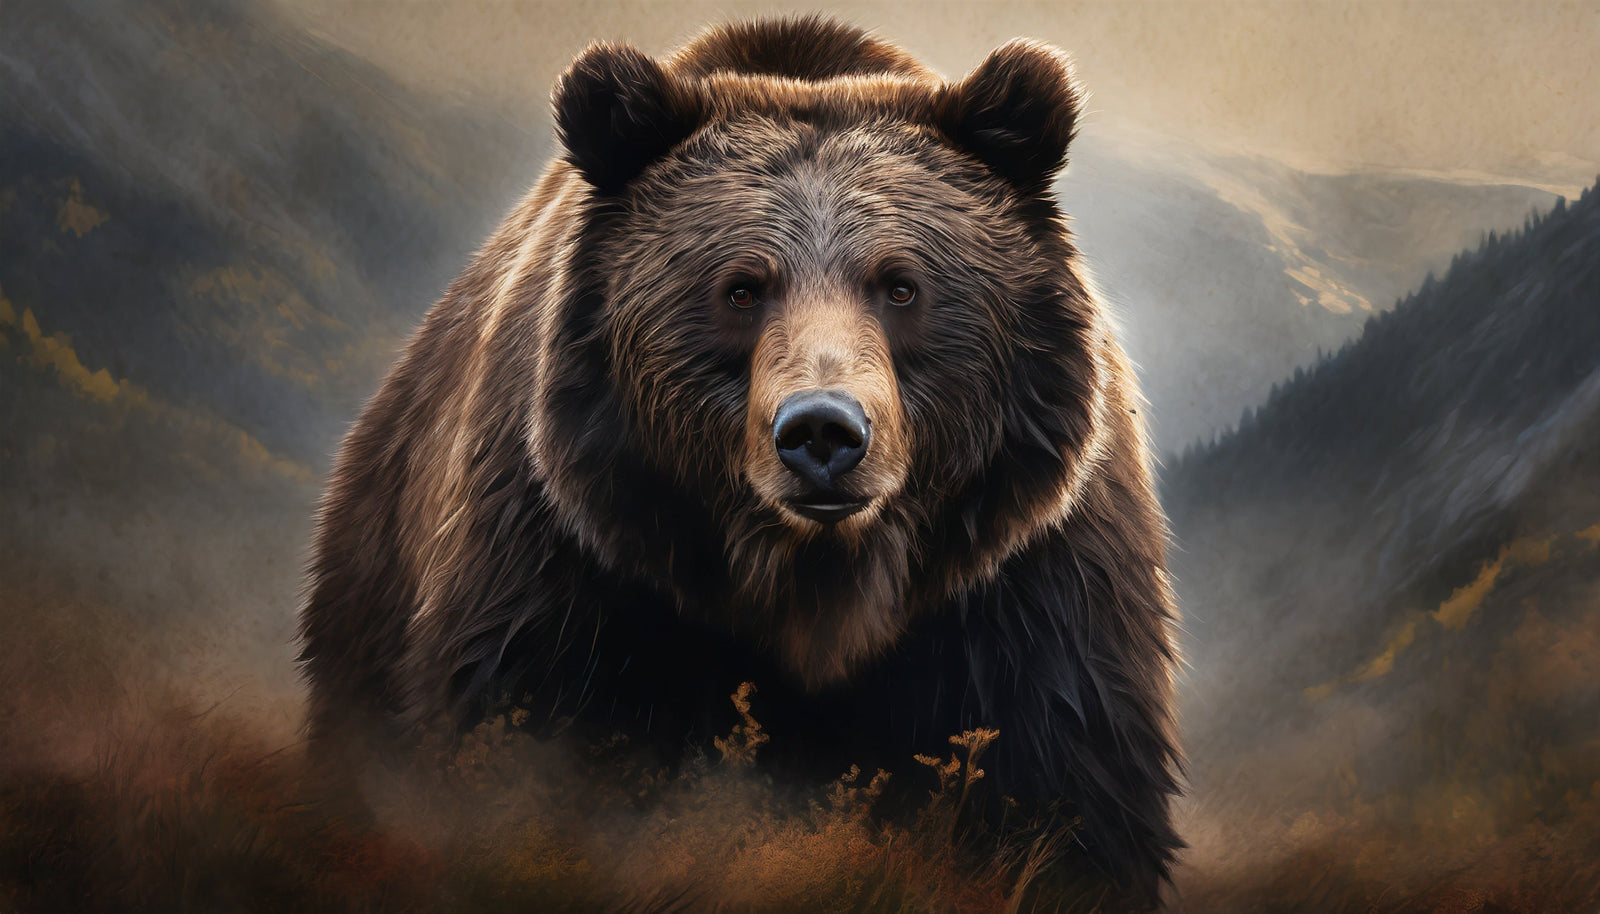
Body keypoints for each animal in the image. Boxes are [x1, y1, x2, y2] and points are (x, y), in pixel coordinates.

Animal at [298, 14, 1182, 908]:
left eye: (901, 285)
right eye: (741, 288)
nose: (823, 431)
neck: (815, 585)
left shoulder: (1031, 587)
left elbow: (1063, 787)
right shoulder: (565, 558)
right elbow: (512, 739)